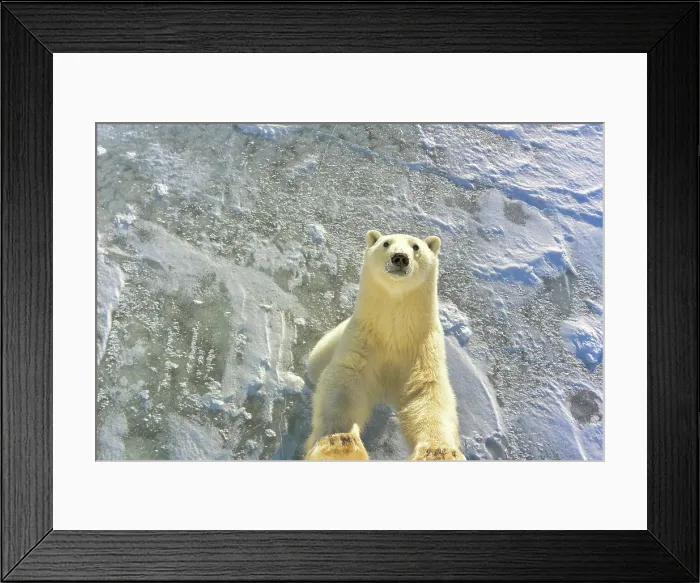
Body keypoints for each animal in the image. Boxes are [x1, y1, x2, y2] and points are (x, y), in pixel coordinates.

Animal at [305, 230, 465, 461]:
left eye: (416, 247)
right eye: (386, 243)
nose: (400, 257)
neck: (394, 332)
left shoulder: (422, 347)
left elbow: (427, 392)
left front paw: (437, 452)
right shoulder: (363, 339)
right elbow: (346, 382)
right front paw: (339, 443)